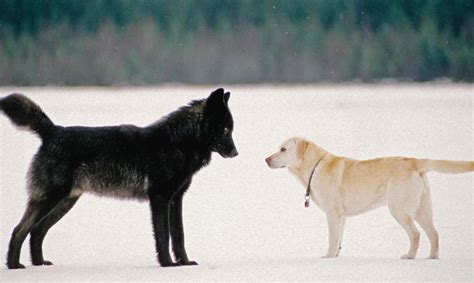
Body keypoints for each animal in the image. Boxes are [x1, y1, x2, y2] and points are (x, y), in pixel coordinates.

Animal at [0, 87, 237, 270]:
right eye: (226, 128)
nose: (236, 153)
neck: (177, 143)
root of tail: (52, 131)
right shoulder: (160, 199)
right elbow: (164, 236)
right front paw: (167, 264)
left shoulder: (176, 199)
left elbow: (179, 235)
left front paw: (184, 263)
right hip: (50, 199)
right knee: (19, 230)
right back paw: (14, 266)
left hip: (65, 202)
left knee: (37, 231)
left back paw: (39, 264)